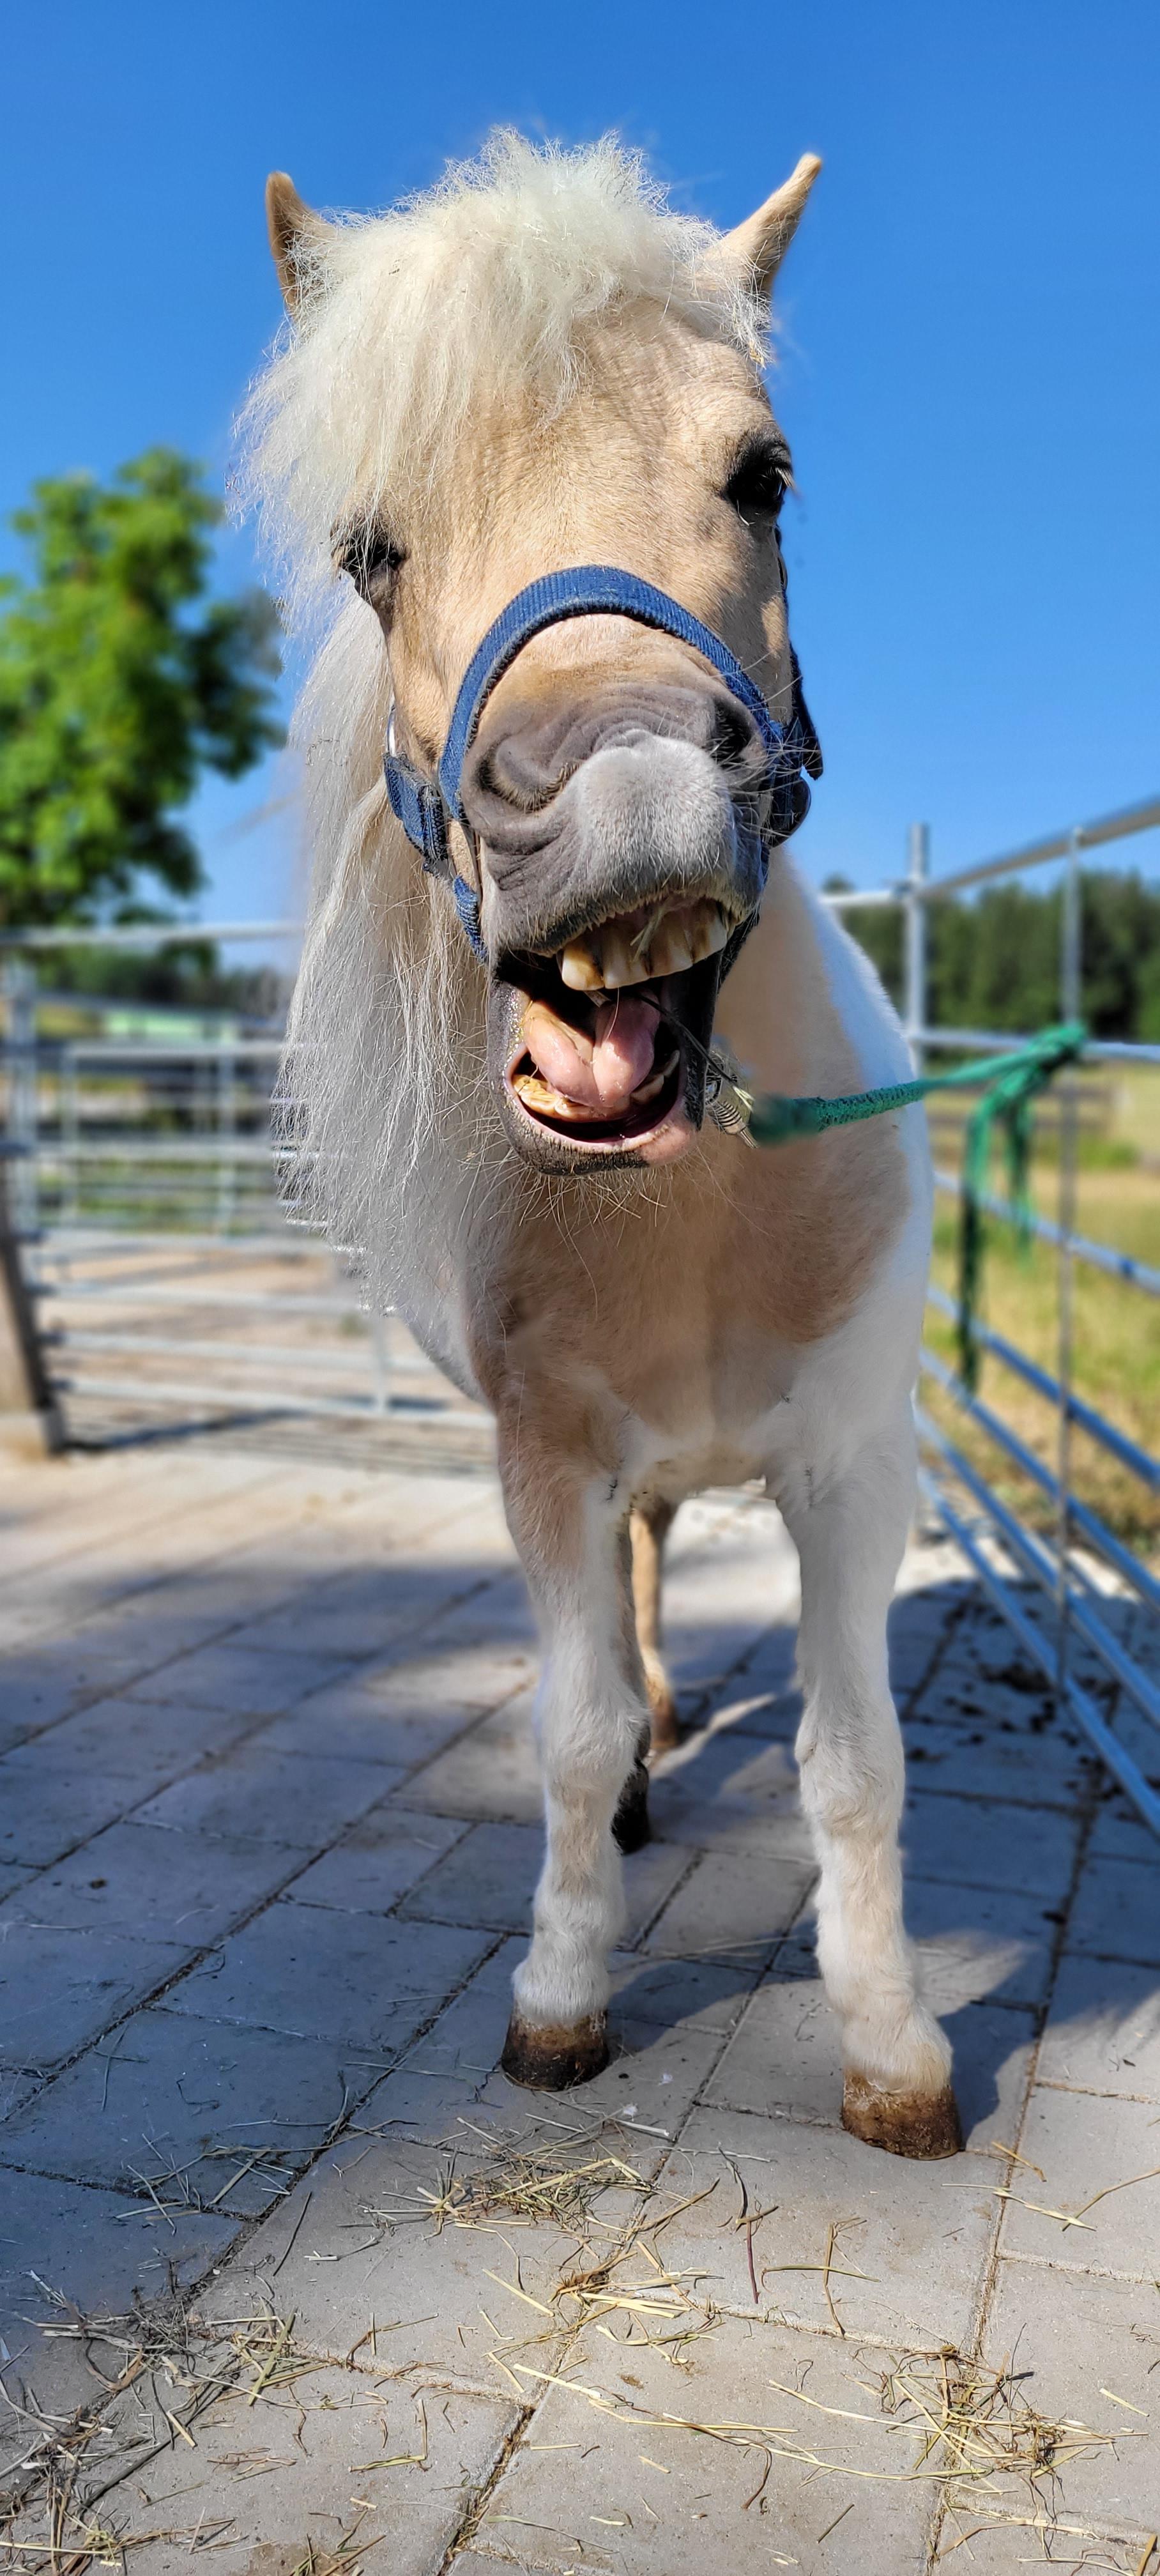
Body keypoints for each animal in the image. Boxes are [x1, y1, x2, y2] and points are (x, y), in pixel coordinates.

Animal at [243, 132, 962, 2160]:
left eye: (763, 473)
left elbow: (852, 1760)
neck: (695, 1200)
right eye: (372, 550)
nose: (624, 809)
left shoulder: (850, 1469)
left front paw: (892, 2051)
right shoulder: (546, 1463)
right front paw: (560, 1998)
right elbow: (562, 1735)